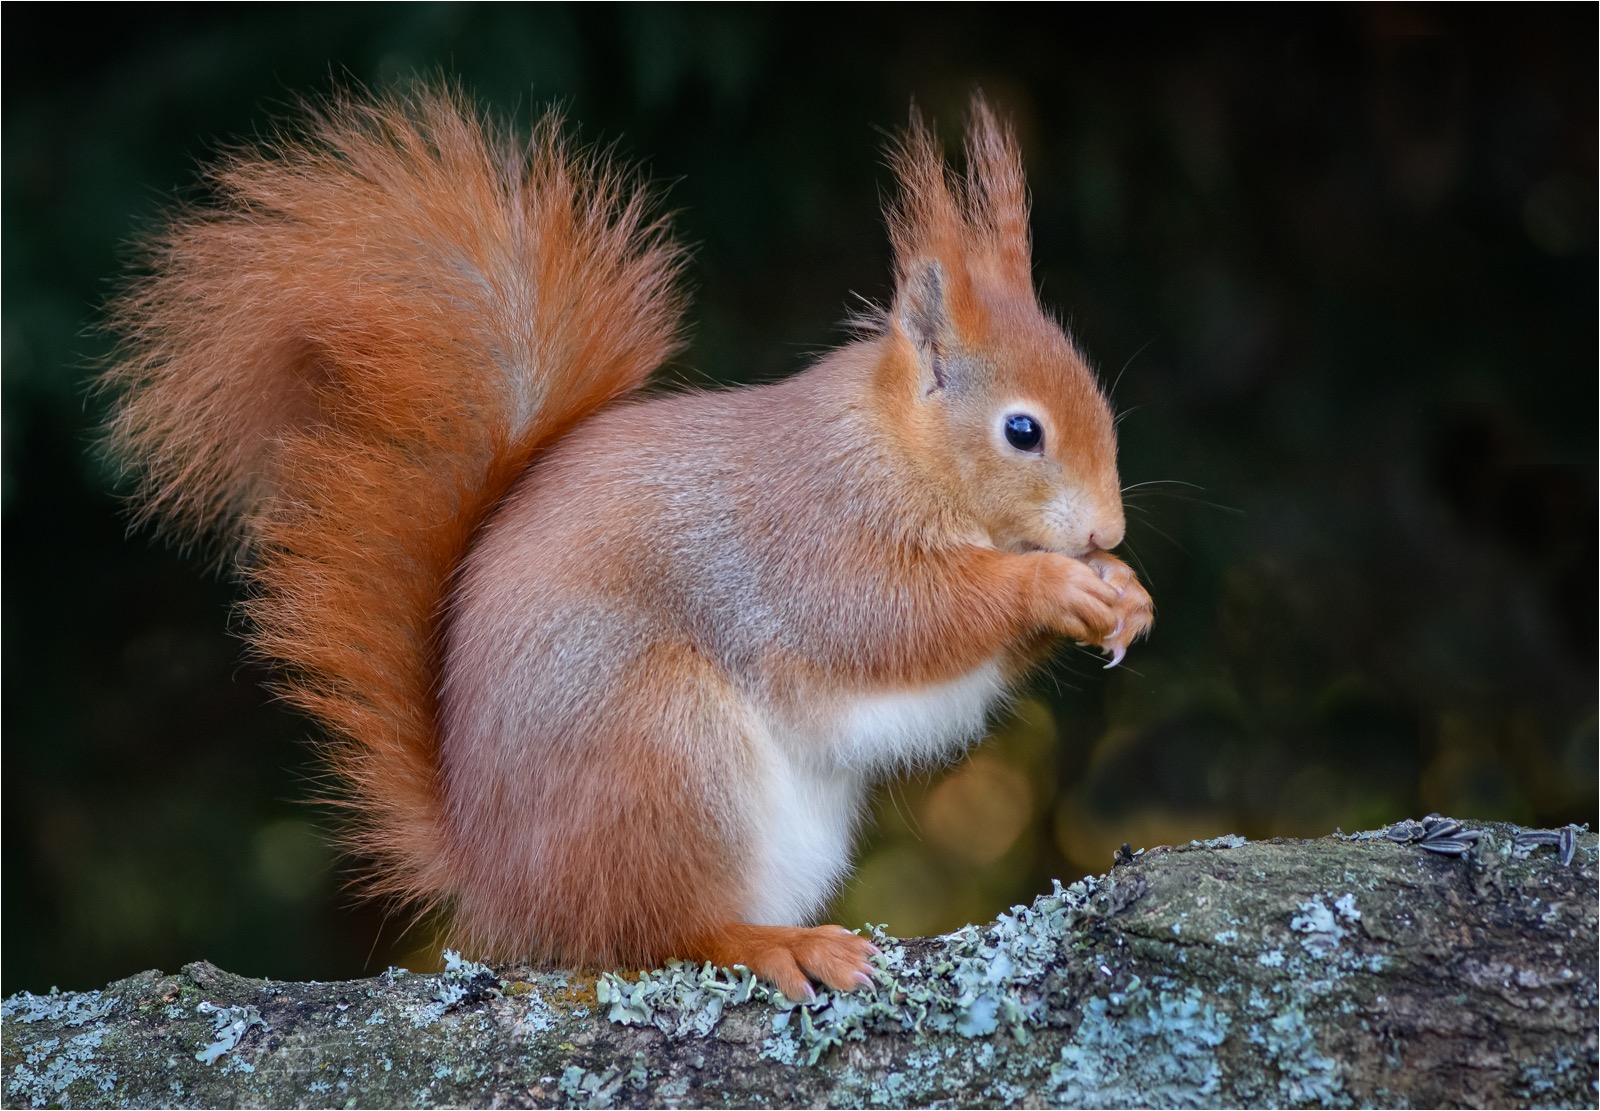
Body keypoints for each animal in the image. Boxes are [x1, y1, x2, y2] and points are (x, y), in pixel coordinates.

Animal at [101, 85, 1153, 1001]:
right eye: (1023, 431)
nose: (1108, 528)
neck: (894, 450)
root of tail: (499, 877)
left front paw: (1125, 591)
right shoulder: (808, 536)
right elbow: (891, 621)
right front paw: (1054, 586)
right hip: (658, 746)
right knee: (658, 931)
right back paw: (774, 943)